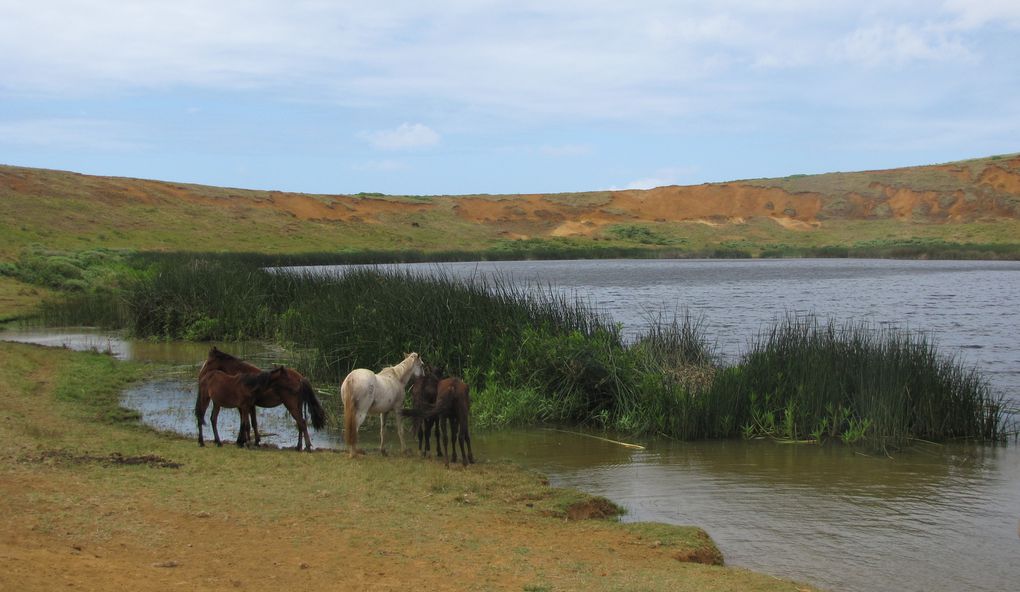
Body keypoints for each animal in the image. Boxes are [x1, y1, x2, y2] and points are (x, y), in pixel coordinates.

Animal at [192, 344, 324, 451]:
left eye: (209, 362)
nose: (200, 374)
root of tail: (300, 378)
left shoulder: (245, 406)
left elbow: (246, 423)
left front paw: (242, 441)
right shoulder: (250, 406)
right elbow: (252, 422)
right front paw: (254, 441)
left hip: (291, 405)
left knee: (301, 423)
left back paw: (306, 447)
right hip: (297, 405)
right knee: (300, 424)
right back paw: (298, 446)